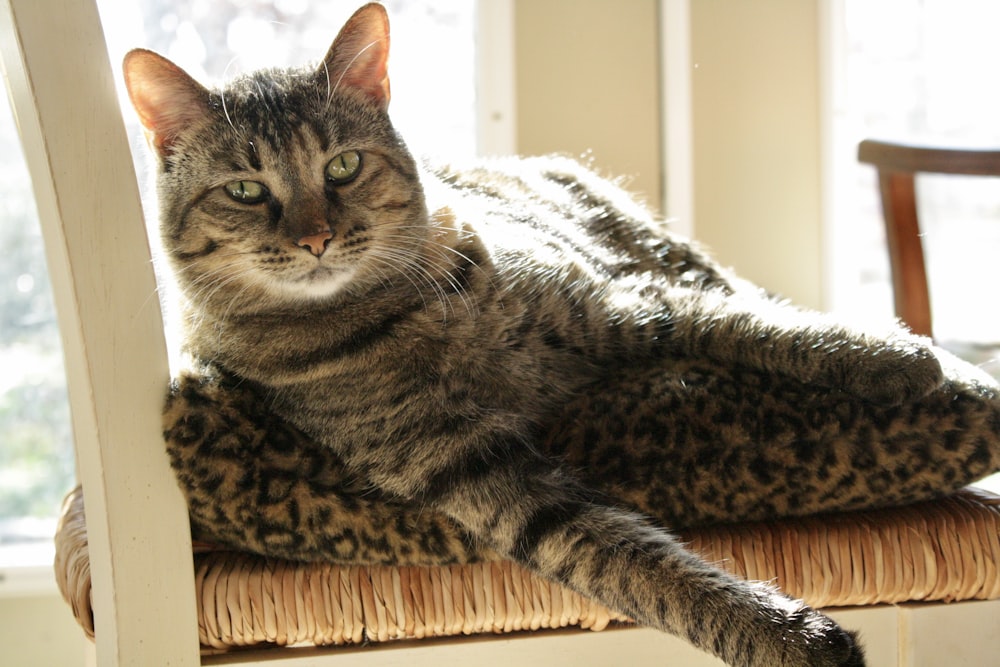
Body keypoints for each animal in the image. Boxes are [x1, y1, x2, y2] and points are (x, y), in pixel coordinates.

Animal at [123, 2, 1000, 664]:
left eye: (341, 166)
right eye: (245, 189)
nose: (314, 237)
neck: (396, 317)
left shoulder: (624, 303)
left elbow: (759, 324)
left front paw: (894, 354)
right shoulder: (471, 470)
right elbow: (633, 562)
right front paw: (781, 633)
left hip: (657, 250)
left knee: (735, 288)